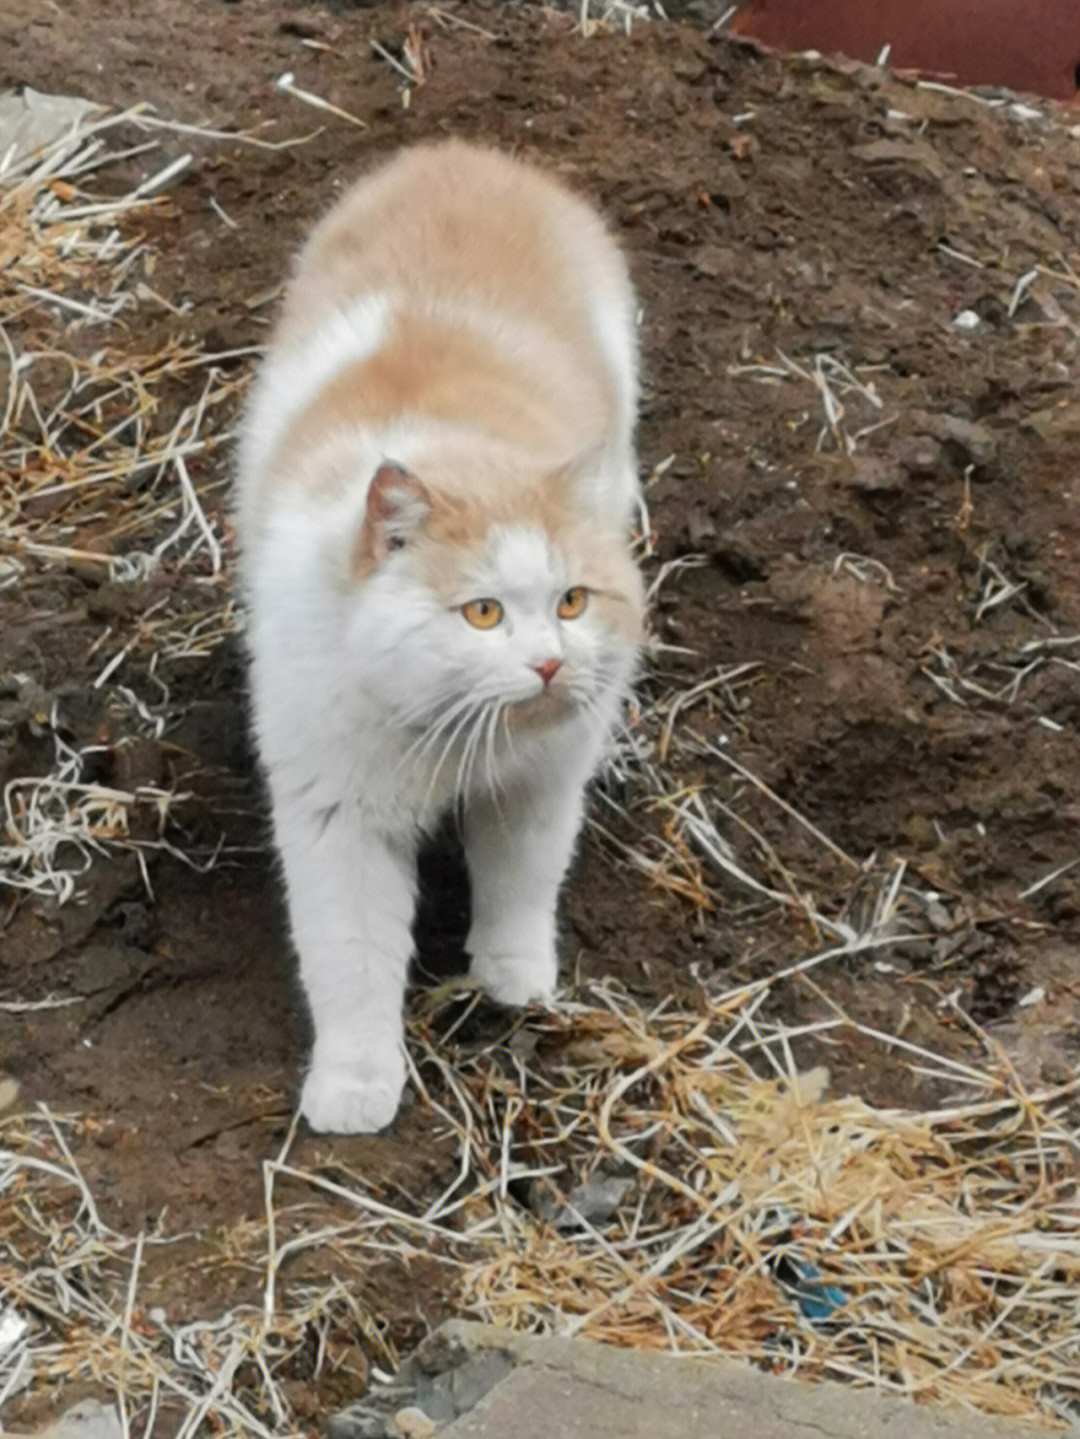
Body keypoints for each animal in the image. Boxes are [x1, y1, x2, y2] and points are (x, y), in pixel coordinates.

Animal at [234, 146, 641, 1133]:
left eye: (574, 601)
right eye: (482, 613)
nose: (549, 662)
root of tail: (465, 153)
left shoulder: (540, 781)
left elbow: (524, 883)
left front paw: (515, 980)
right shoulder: (336, 817)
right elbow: (349, 960)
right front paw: (355, 1087)